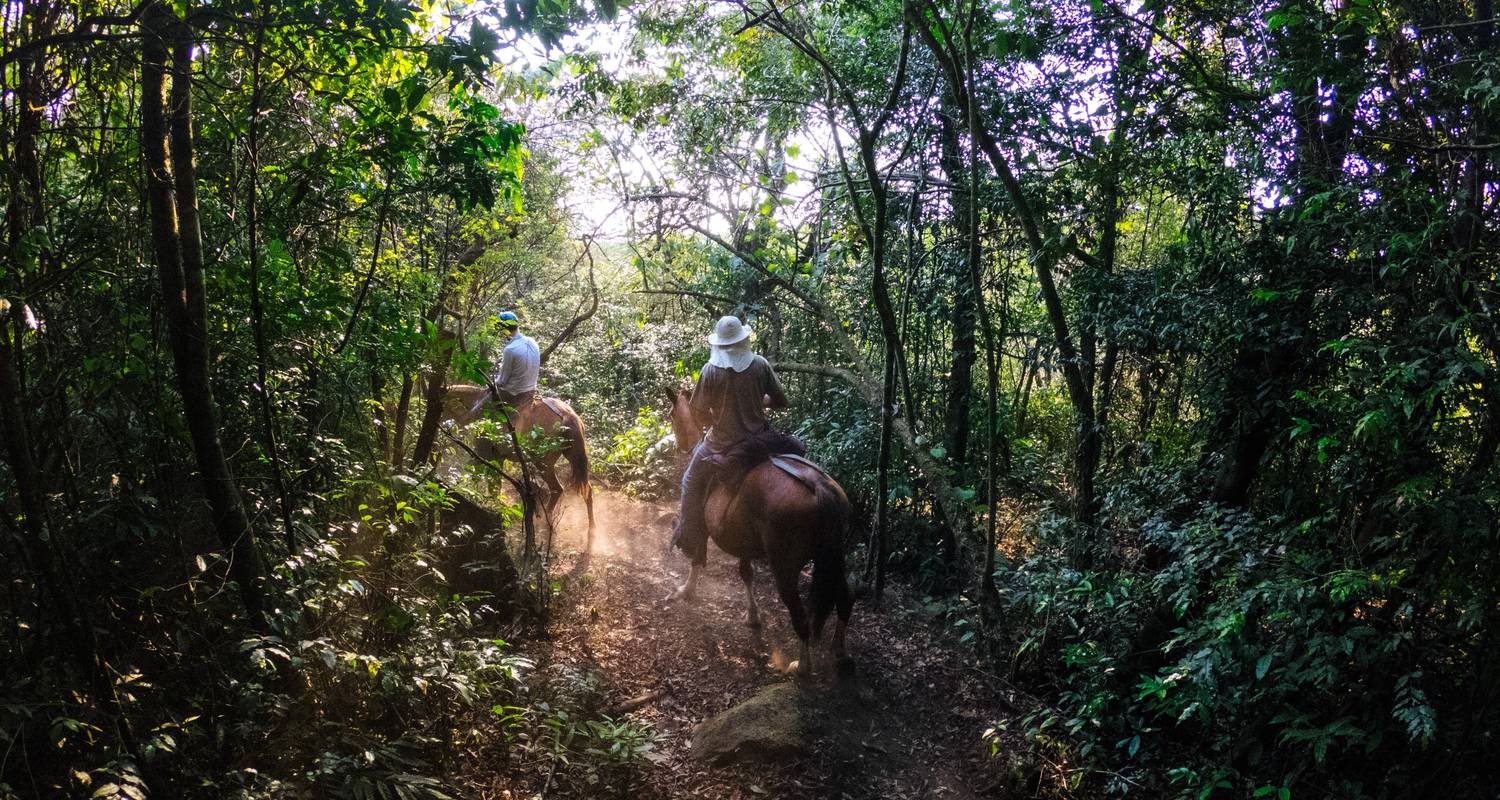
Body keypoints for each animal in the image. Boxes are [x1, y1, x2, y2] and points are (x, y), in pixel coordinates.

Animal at [441, 382, 594, 546]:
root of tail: (567, 416)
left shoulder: (484, 453)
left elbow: (479, 476)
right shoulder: (499, 457)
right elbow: (495, 484)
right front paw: (495, 505)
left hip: (542, 462)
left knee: (557, 488)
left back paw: (545, 523)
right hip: (572, 456)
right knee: (586, 490)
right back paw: (592, 529)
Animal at [669, 384, 858, 669]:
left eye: (671, 416)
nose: (680, 445)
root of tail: (820, 489)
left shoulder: (702, 527)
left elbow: (697, 557)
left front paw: (685, 590)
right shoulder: (743, 540)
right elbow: (746, 573)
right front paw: (753, 616)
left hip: (785, 567)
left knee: (800, 616)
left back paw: (801, 667)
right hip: (833, 557)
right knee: (845, 598)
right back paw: (840, 651)